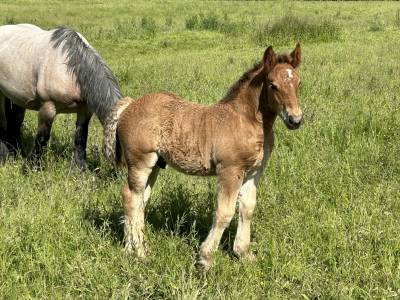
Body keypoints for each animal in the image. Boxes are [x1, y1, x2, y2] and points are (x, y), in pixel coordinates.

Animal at [0, 23, 122, 168]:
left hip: (18, 98)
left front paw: (80, 167)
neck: (70, 70)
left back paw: (15, 150)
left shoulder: (85, 110)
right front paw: (33, 166)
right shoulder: (48, 108)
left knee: (15, 120)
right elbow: (42, 138)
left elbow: (81, 137)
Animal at [103, 43, 304, 270]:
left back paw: (133, 247)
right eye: (273, 85)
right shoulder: (230, 170)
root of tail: (129, 104)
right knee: (130, 197)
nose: (295, 119)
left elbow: (247, 208)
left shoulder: (254, 172)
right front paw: (205, 259)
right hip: (140, 162)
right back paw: (139, 252)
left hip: (154, 165)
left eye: (299, 82)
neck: (246, 121)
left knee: (140, 200)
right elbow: (225, 212)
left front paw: (243, 253)